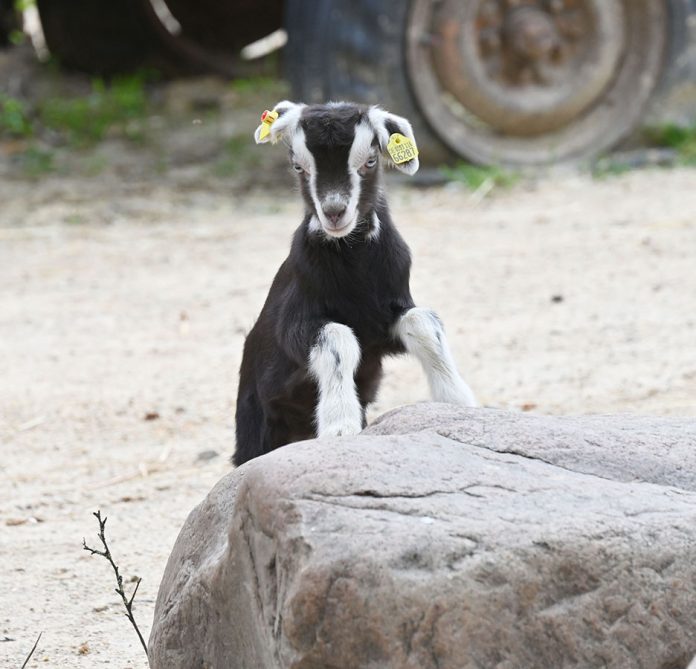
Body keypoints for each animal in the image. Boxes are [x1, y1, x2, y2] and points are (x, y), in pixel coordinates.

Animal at [233, 101, 476, 466]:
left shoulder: (385, 316)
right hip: (254, 420)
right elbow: (338, 338)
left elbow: (424, 323)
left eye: (370, 161)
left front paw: (458, 402)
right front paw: (339, 425)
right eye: (298, 166)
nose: (334, 211)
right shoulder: (295, 323)